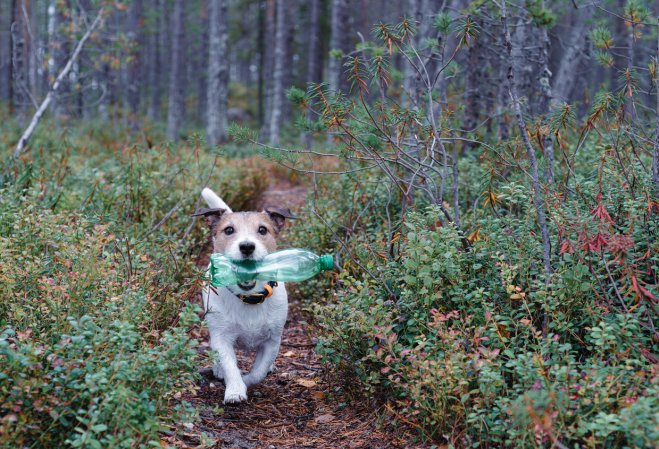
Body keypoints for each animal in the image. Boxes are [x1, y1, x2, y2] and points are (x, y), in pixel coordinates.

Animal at [195, 186, 296, 402]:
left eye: (262, 230)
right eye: (229, 230)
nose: (247, 246)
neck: (249, 298)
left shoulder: (272, 341)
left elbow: (259, 370)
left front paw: (247, 381)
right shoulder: (222, 338)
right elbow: (229, 365)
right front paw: (235, 389)